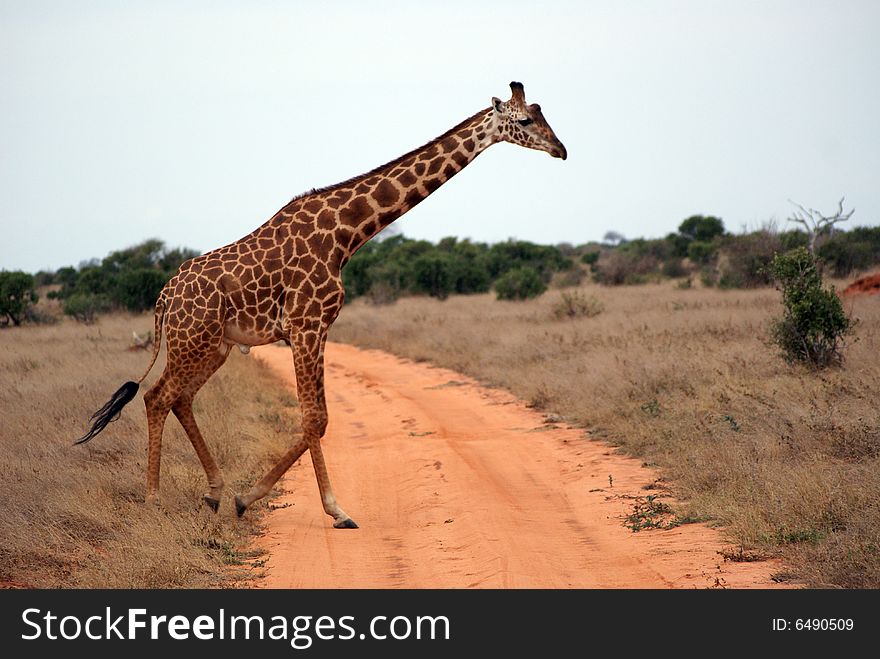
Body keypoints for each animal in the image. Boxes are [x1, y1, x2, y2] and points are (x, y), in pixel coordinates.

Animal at [77, 80, 572, 528]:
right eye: (526, 121)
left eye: (543, 114)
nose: (561, 150)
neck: (345, 234)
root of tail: (163, 299)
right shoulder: (306, 324)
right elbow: (316, 418)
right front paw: (335, 510)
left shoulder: (316, 327)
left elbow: (319, 418)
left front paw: (244, 498)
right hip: (190, 341)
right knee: (157, 397)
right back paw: (154, 500)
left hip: (214, 346)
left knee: (179, 399)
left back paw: (214, 494)